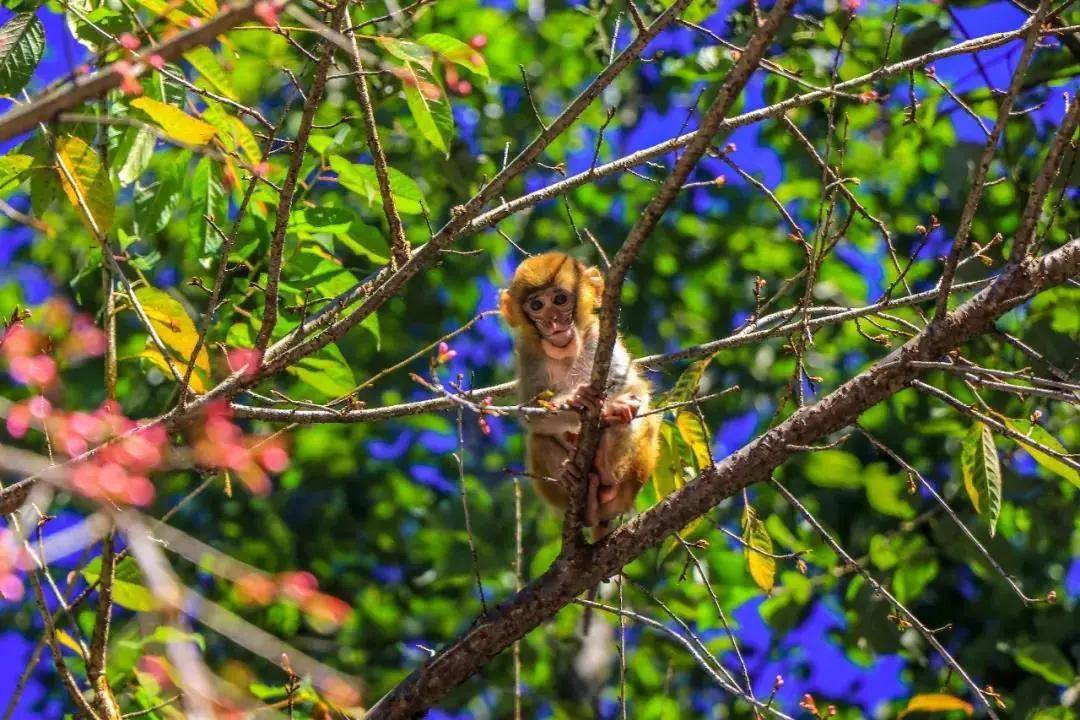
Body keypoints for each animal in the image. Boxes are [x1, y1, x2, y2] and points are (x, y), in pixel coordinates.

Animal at [496, 250, 656, 537]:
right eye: (537, 305)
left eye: (560, 300)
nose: (553, 322)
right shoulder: (528, 353)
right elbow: (531, 416)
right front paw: (574, 400)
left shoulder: (598, 336)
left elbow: (634, 389)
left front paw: (615, 406)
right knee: (538, 438)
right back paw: (578, 486)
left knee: (640, 417)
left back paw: (605, 469)